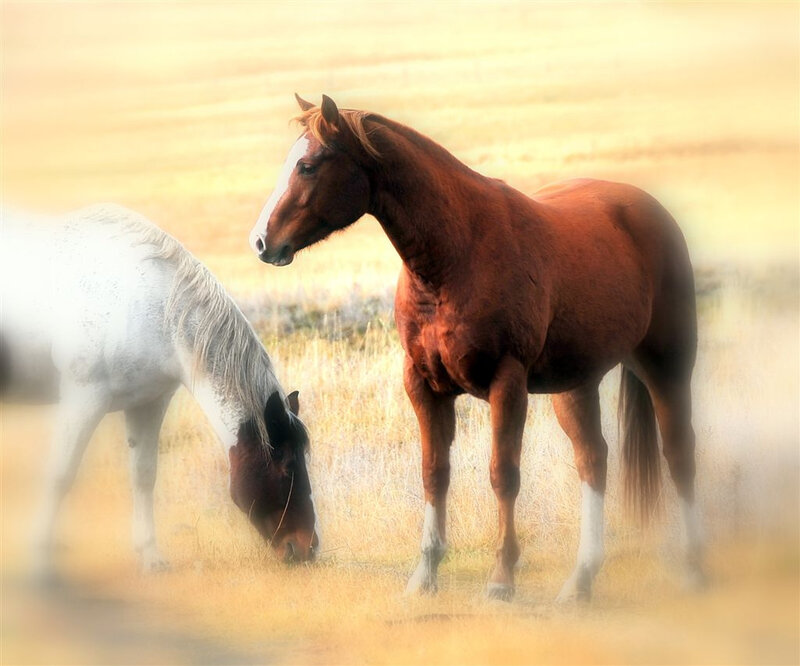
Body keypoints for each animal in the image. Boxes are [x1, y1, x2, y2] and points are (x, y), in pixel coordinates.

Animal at [1, 204, 319, 579]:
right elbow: (59, 476)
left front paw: (150, 556)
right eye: (286, 466)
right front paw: (40, 563)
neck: (150, 307)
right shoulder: (83, 400)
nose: (308, 547)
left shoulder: (148, 404)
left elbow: (143, 476)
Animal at [248, 94, 704, 602]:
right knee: (593, 460)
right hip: (576, 386)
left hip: (667, 364)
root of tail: (648, 210)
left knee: (679, 452)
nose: (262, 241)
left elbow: (503, 475)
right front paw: (424, 573)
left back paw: (692, 568)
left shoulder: (507, 384)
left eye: (307, 166)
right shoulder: (422, 385)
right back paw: (581, 581)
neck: (455, 256)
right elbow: (434, 473)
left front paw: (501, 577)